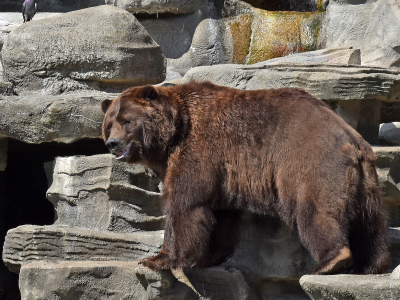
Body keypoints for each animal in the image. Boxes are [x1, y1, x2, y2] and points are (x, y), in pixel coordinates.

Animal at [101, 79, 392, 274]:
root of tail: (351, 139)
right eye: (109, 123)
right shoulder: (221, 173)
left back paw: (331, 261)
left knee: (315, 211)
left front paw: (158, 259)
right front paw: (209, 257)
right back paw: (373, 264)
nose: (112, 143)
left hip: (313, 165)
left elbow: (185, 204)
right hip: (365, 180)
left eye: (127, 120)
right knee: (370, 221)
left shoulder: (199, 149)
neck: (175, 131)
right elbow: (221, 215)